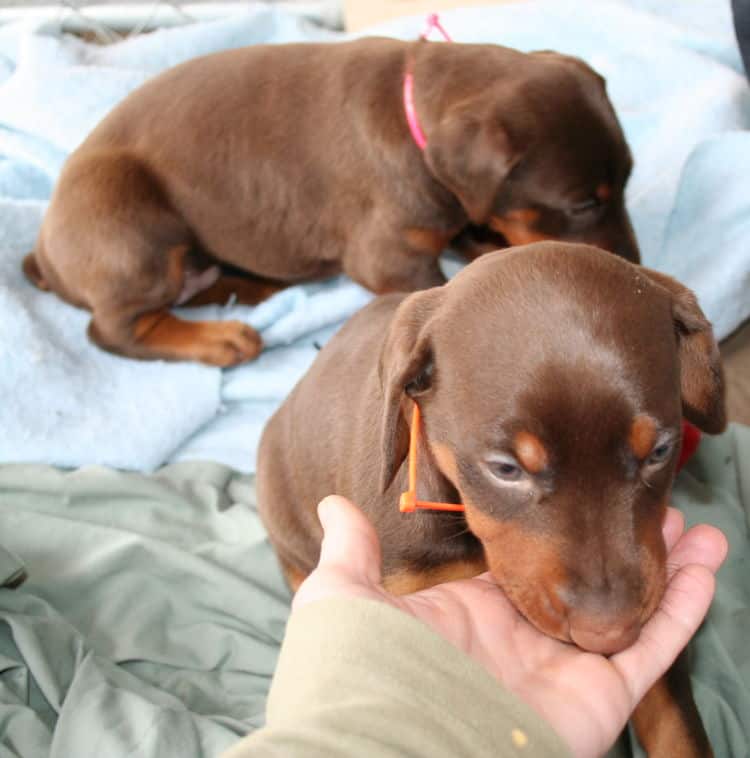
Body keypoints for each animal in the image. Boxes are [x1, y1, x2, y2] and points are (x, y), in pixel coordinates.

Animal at [25, 37, 640, 366]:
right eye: (583, 204)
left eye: (628, 179)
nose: (634, 267)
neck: (414, 118)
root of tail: (45, 255)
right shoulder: (391, 255)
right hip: (129, 222)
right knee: (114, 328)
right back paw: (219, 338)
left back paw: (247, 288)